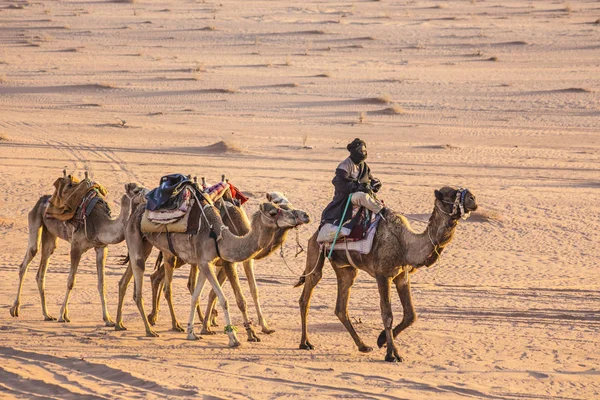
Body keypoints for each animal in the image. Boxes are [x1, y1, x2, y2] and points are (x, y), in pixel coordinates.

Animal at [9, 181, 146, 324]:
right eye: (136, 191)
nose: (147, 197)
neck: (100, 224)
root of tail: (41, 200)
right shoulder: (76, 247)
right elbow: (70, 281)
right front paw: (61, 315)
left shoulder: (101, 248)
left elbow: (102, 284)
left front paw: (108, 319)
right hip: (35, 219)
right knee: (29, 256)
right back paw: (15, 309)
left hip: (50, 234)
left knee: (42, 268)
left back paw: (47, 315)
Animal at [115, 197, 308, 346]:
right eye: (274, 212)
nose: (301, 216)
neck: (221, 236)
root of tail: (136, 211)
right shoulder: (211, 263)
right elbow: (225, 299)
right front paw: (234, 338)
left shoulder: (205, 263)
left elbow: (196, 297)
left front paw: (193, 332)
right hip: (136, 238)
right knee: (139, 287)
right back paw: (149, 329)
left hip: (147, 245)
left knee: (129, 278)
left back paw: (119, 323)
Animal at [296, 188, 478, 362]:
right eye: (451, 194)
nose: (473, 199)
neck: (406, 245)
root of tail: (316, 231)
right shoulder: (383, 275)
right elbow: (387, 314)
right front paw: (392, 354)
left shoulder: (402, 276)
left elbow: (411, 315)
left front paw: (381, 339)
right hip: (315, 250)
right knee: (308, 292)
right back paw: (305, 343)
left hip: (346, 268)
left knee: (341, 306)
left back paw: (363, 346)